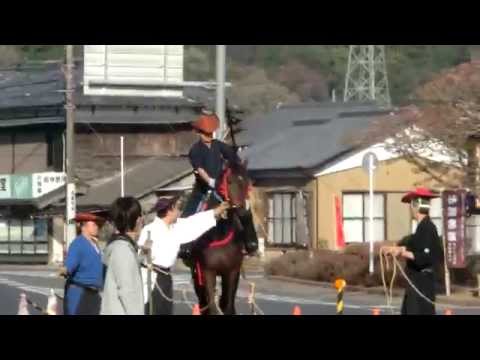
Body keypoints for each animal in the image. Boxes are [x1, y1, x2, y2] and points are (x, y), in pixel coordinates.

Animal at [187, 163, 255, 316]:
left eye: (247, 180)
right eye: (229, 181)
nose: (242, 210)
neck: (219, 232)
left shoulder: (232, 272)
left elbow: (228, 305)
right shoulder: (207, 271)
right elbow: (212, 306)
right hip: (196, 272)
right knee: (203, 302)